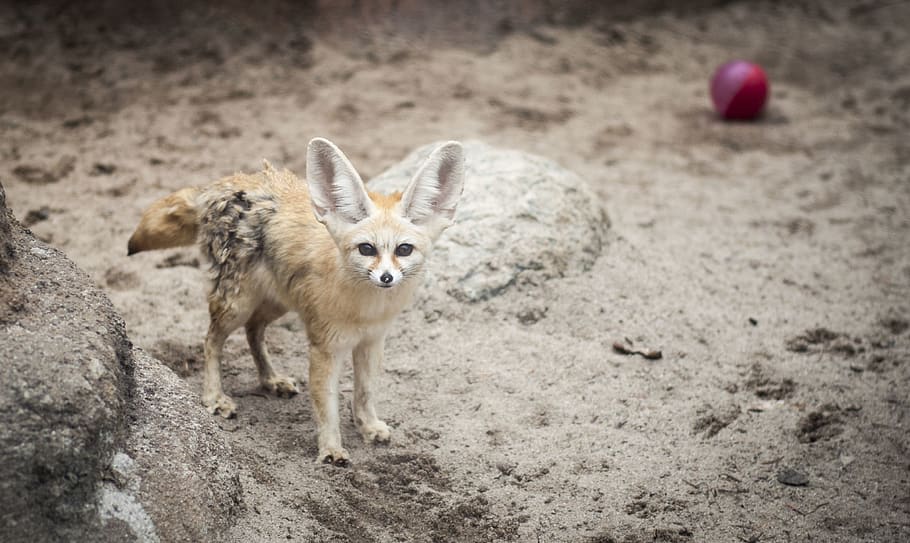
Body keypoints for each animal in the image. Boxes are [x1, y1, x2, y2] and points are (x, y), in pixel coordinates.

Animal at [127, 138, 465, 466]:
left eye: (404, 249)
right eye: (366, 249)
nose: (386, 278)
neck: (364, 310)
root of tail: (225, 182)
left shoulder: (372, 341)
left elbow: (365, 392)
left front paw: (368, 426)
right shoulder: (325, 347)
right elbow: (327, 405)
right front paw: (331, 450)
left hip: (277, 302)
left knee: (253, 331)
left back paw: (271, 380)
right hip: (237, 304)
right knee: (211, 341)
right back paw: (214, 396)